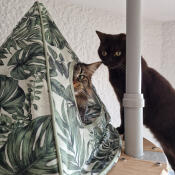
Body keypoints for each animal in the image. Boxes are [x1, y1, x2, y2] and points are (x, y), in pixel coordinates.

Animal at [96, 30, 175, 170]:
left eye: (118, 52)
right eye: (104, 52)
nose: (109, 61)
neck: (119, 73)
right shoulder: (122, 99)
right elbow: (123, 115)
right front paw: (121, 130)